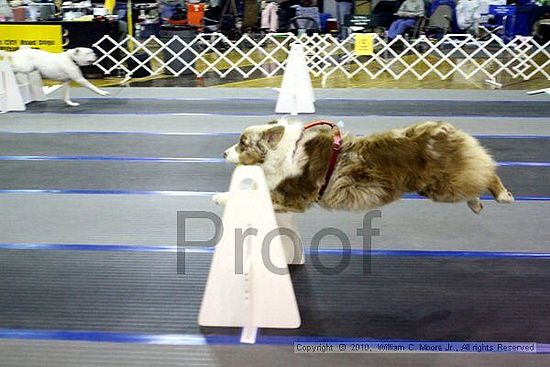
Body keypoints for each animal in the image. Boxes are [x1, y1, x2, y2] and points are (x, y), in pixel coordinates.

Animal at [213, 119, 516, 214]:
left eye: (242, 143)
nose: (223, 152)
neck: (284, 151)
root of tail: (446, 129)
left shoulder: (295, 195)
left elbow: (256, 194)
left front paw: (220, 197)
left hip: (446, 184)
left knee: (487, 172)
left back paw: (503, 195)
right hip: (437, 187)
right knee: (476, 179)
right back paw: (476, 203)